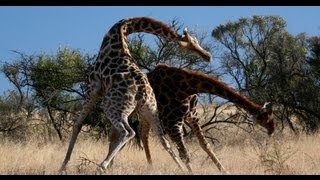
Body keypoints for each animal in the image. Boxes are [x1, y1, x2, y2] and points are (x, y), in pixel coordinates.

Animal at [58, 16, 212, 174]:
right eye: (191, 42)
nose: (207, 56)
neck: (120, 32)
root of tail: (143, 92)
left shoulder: (94, 86)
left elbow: (78, 124)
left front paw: (63, 165)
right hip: (149, 110)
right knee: (163, 139)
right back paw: (182, 169)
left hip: (112, 106)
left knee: (128, 132)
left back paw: (101, 166)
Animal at [110, 63, 276, 173]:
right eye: (268, 118)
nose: (272, 130)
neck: (186, 87)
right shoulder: (172, 121)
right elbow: (184, 154)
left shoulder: (192, 116)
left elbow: (205, 145)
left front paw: (224, 170)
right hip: (126, 110)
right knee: (119, 133)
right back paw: (112, 164)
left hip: (146, 114)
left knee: (142, 133)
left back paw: (150, 165)